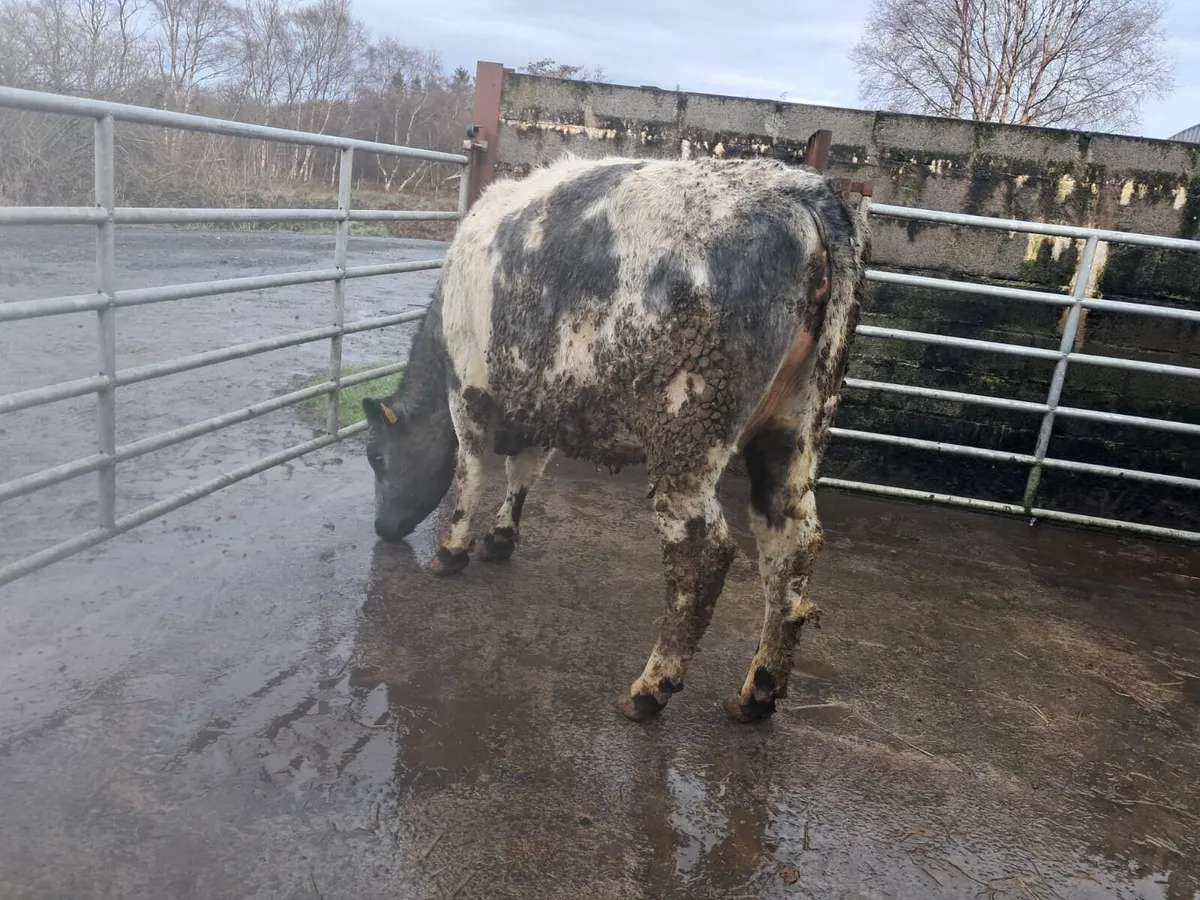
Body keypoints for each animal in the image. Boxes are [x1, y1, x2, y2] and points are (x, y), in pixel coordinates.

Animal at [362, 155, 867, 723]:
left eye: (376, 456)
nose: (382, 528)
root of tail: (803, 190)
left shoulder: (468, 392)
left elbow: (471, 472)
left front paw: (451, 551)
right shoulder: (542, 402)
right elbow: (523, 472)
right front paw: (500, 538)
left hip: (687, 431)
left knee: (703, 550)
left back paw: (650, 688)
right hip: (794, 427)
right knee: (790, 543)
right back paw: (756, 693)